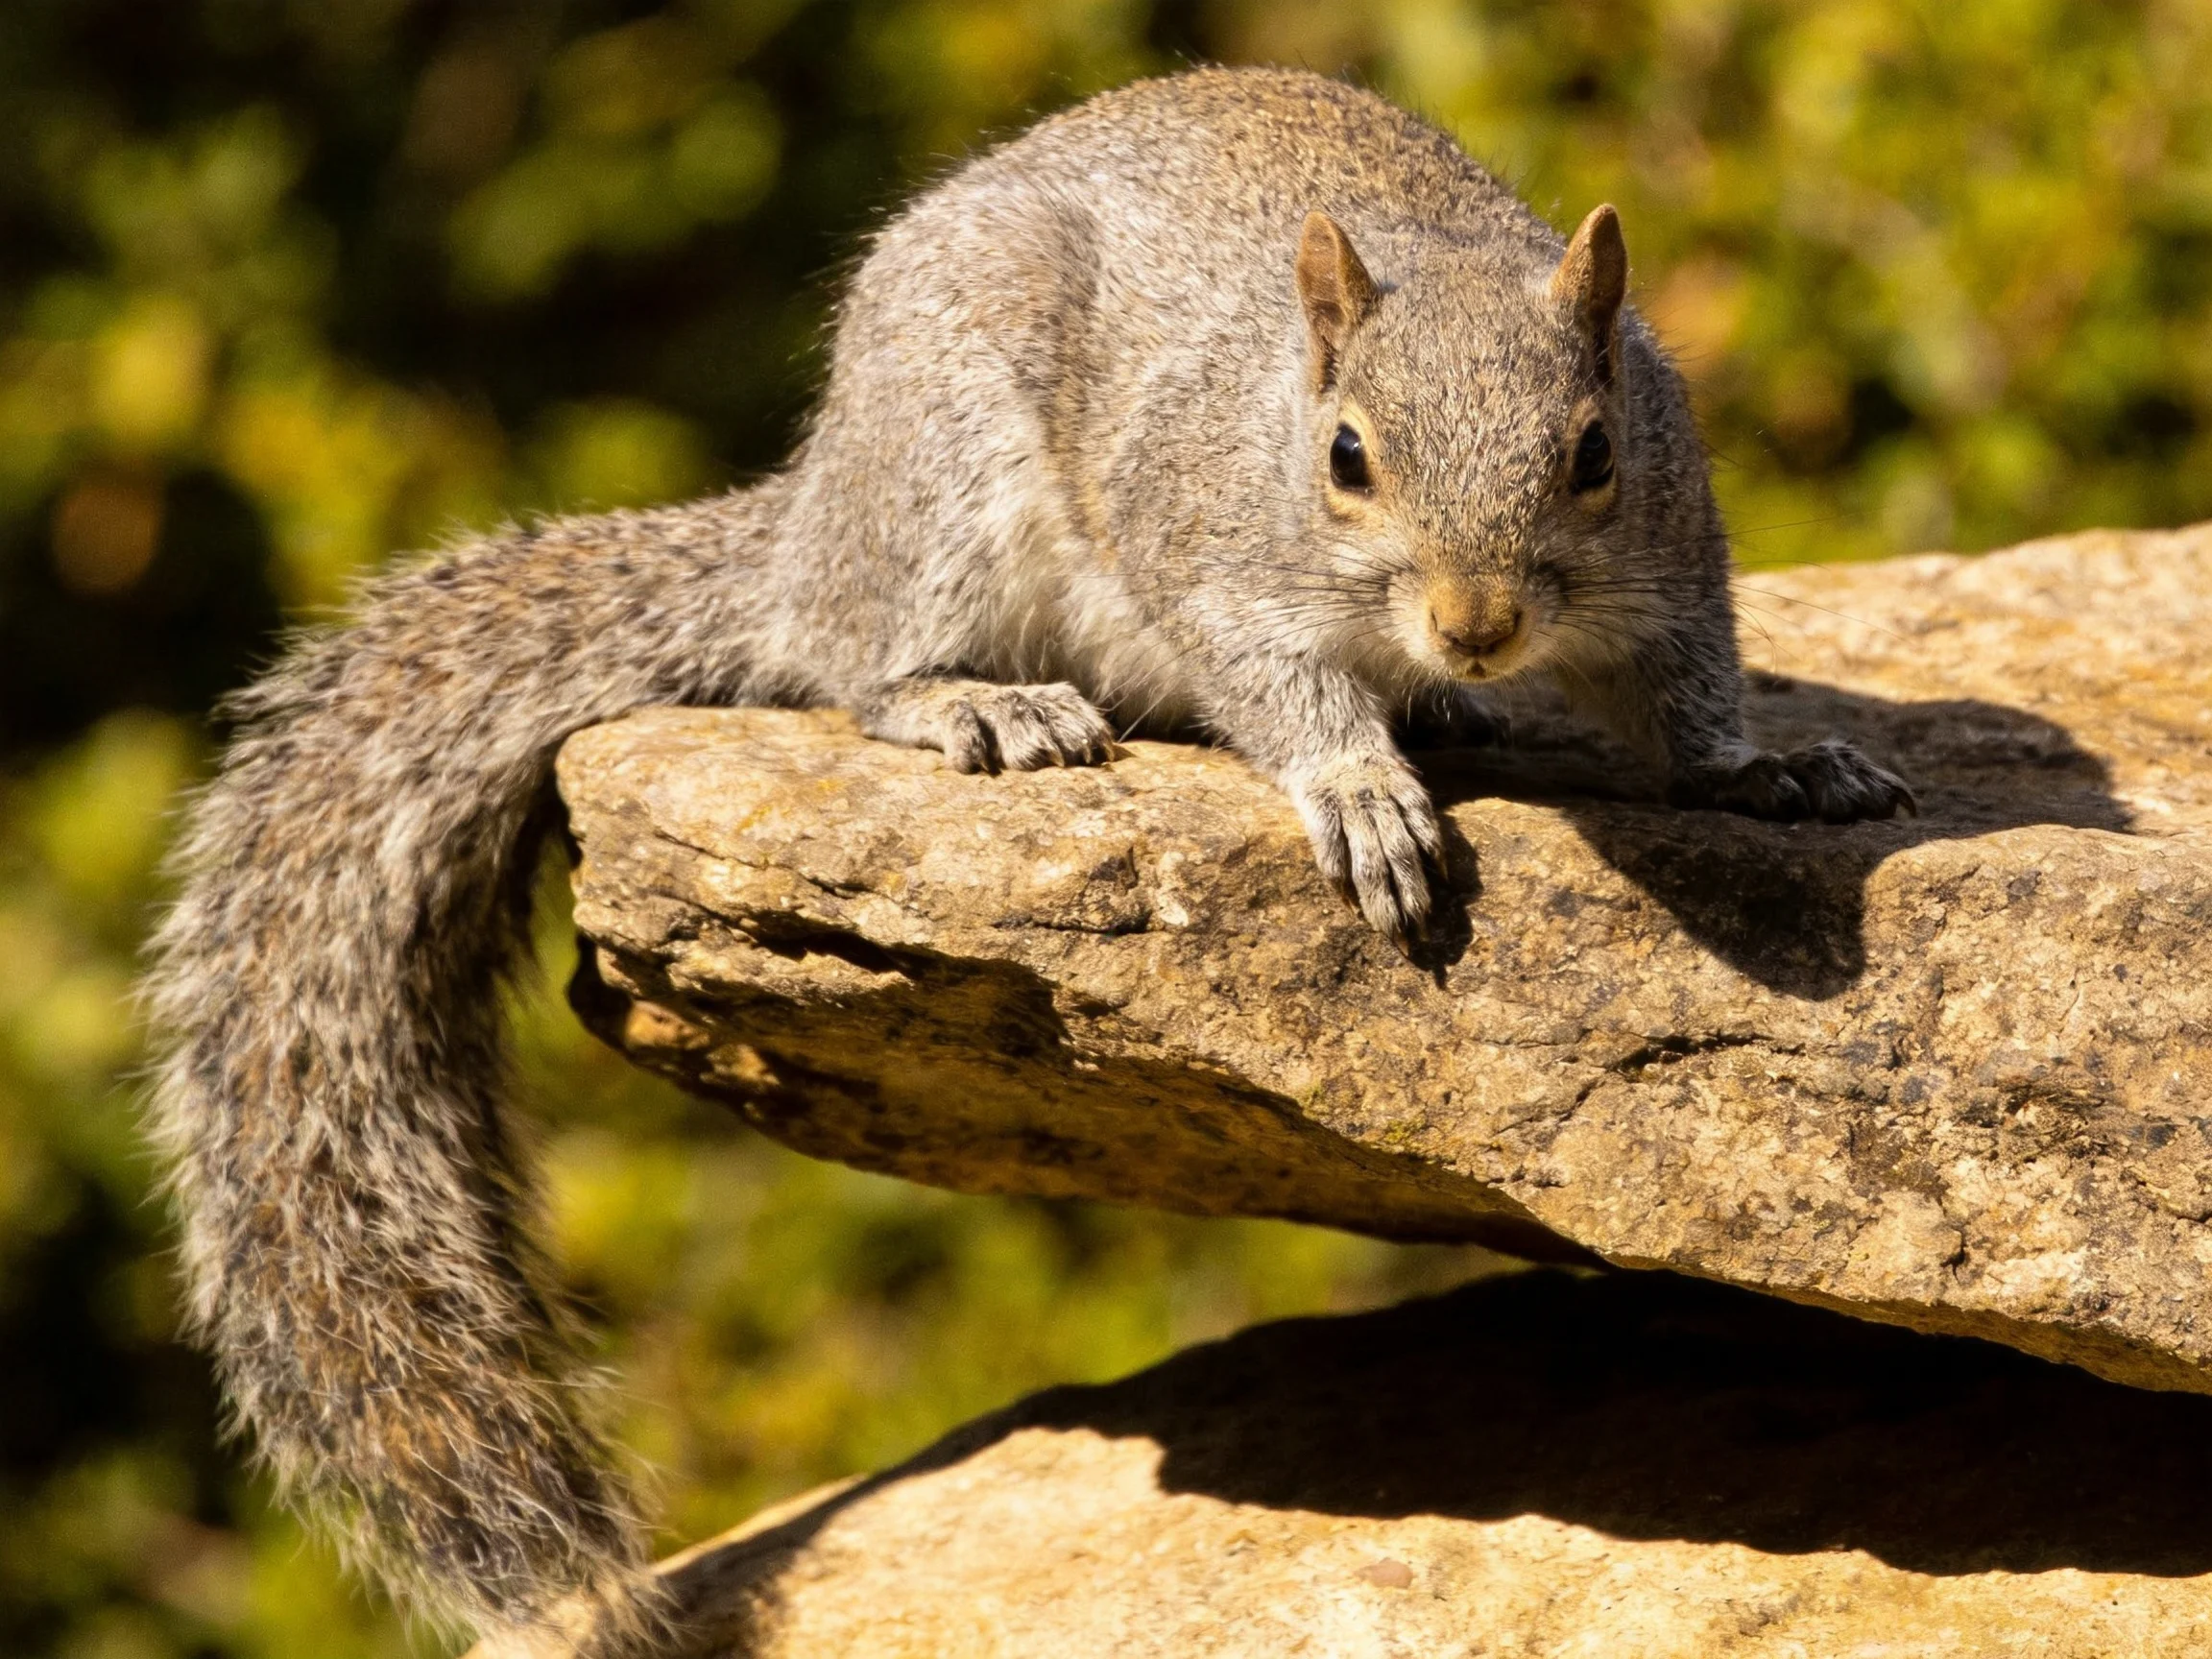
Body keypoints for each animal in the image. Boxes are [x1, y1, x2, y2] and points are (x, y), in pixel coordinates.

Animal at [143, 65, 1913, 1647]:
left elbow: (1693, 702)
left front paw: (1774, 767)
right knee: (850, 665)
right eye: (1345, 456)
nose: (1477, 626)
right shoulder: (1216, 565)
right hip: (948, 489)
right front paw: (1356, 787)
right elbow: (1274, 681)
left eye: (1594, 451)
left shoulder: (1674, 566)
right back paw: (988, 703)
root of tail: (809, 522)